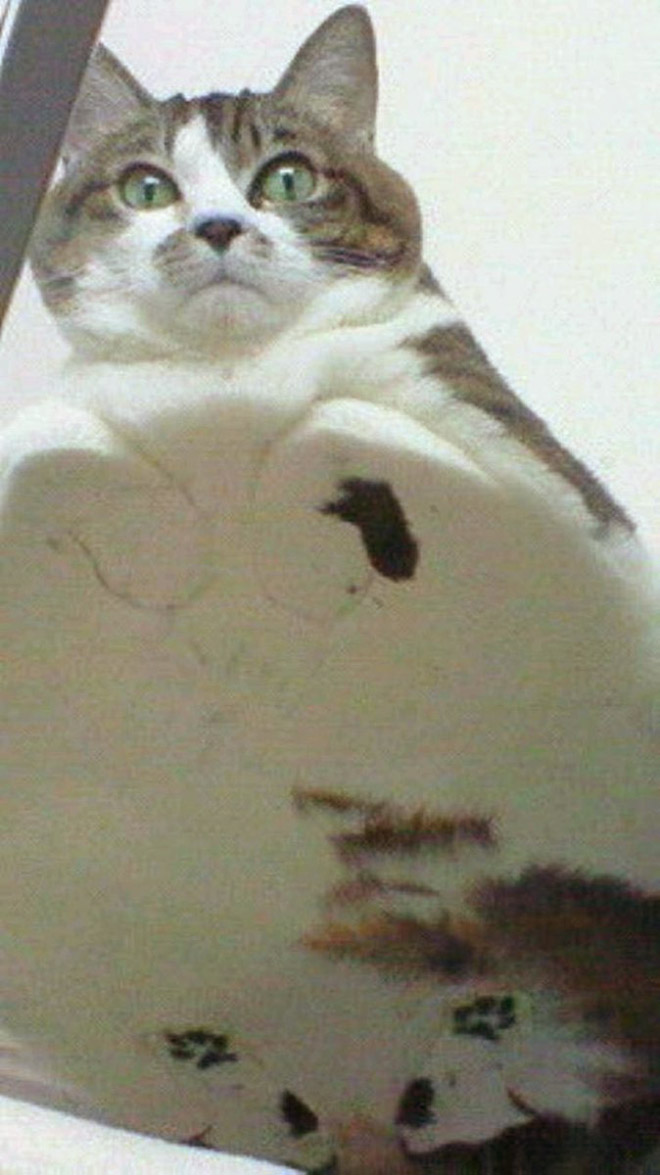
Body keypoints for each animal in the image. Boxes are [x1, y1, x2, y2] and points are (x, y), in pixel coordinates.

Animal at [1, 9, 657, 1175]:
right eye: (146, 188)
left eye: (289, 178)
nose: (219, 225)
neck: (227, 377)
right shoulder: (66, 422)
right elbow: (67, 437)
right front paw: (162, 540)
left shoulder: (554, 502)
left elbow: (337, 419)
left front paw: (293, 557)